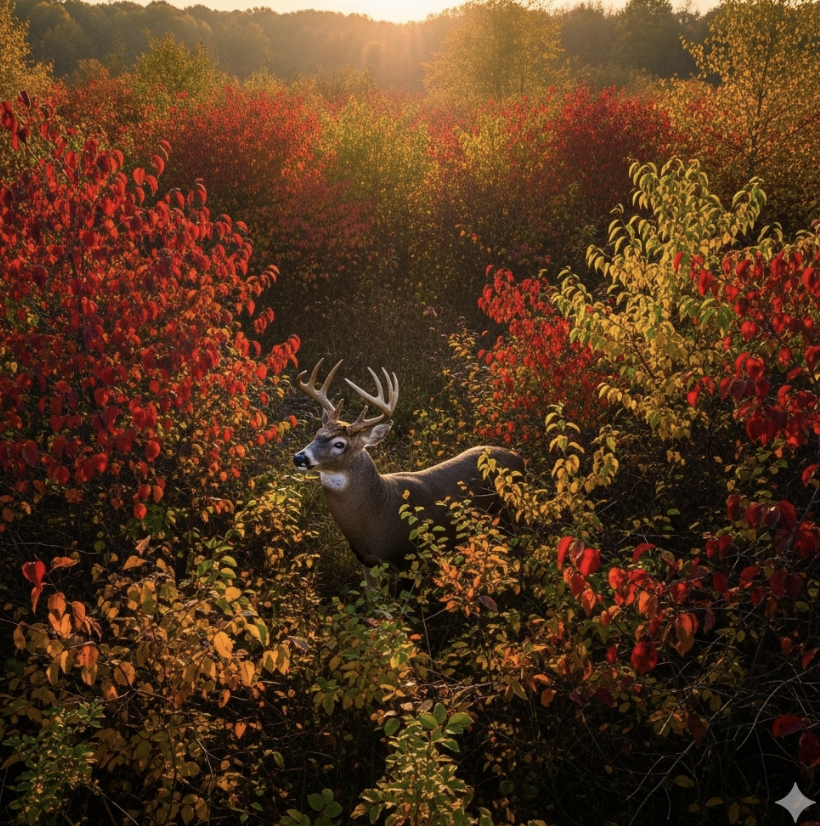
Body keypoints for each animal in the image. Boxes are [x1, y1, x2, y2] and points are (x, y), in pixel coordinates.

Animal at [292, 358, 525, 584]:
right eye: (317, 434)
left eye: (339, 444)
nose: (299, 457)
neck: (377, 510)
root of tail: (519, 457)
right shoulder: (367, 561)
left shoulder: (407, 559)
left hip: (511, 518)